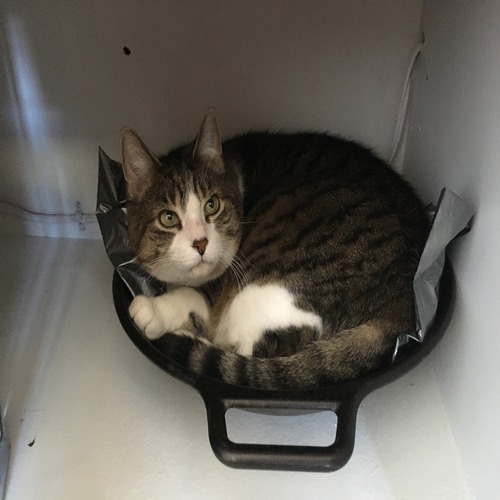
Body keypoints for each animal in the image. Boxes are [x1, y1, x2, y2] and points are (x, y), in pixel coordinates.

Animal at [120, 109, 429, 390]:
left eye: (212, 205)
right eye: (168, 218)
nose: (201, 243)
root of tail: (402, 304)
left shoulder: (220, 285)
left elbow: (192, 296)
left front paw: (152, 309)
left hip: (267, 288)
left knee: (254, 350)